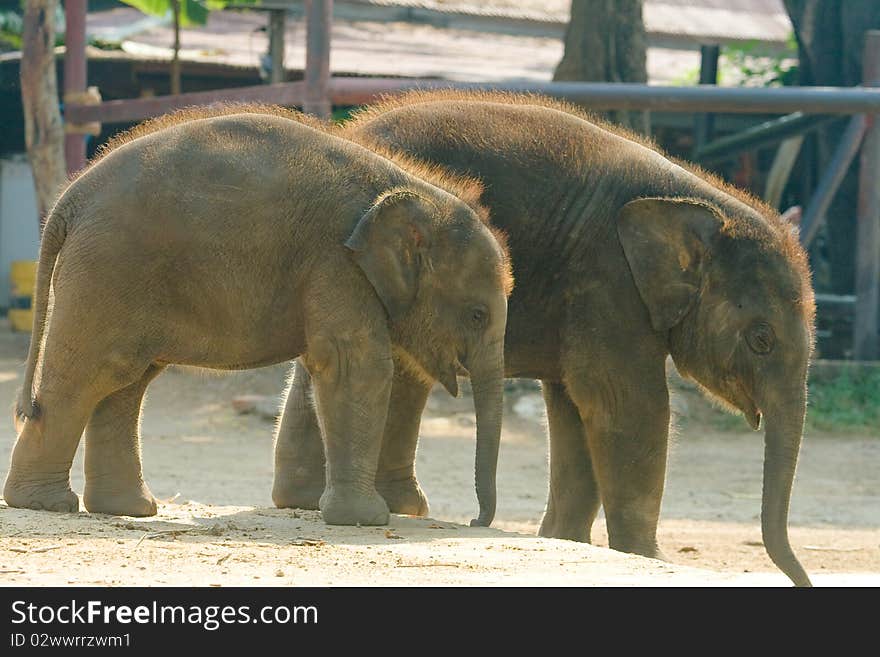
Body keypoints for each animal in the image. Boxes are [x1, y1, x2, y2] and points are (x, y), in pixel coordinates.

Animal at [3, 110, 512, 524]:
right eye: (476, 315)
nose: (475, 522)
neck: (412, 189)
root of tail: (70, 197)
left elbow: (326, 365)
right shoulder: (337, 263)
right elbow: (355, 365)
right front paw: (367, 521)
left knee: (127, 379)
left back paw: (129, 510)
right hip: (108, 268)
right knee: (91, 374)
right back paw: (46, 504)